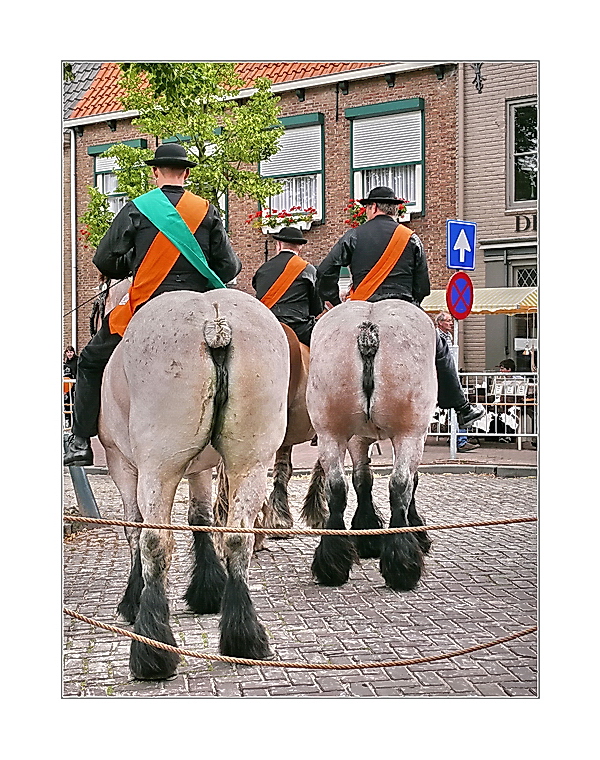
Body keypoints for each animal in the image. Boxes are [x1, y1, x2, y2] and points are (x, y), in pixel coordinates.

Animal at [97, 288, 290, 680]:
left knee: (154, 541)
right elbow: (201, 519)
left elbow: (133, 529)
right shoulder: (201, 469)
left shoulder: (121, 464)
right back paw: (244, 636)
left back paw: (152, 649)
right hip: (251, 460)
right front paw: (208, 589)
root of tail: (213, 322)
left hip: (159, 465)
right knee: (237, 537)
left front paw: (132, 599)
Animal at [304, 300, 436, 592]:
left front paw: (366, 533)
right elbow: (411, 482)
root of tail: (368, 330)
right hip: (408, 434)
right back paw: (402, 563)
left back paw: (333, 563)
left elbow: (362, 479)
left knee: (336, 488)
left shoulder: (356, 438)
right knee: (400, 485)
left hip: (330, 434)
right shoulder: (417, 435)